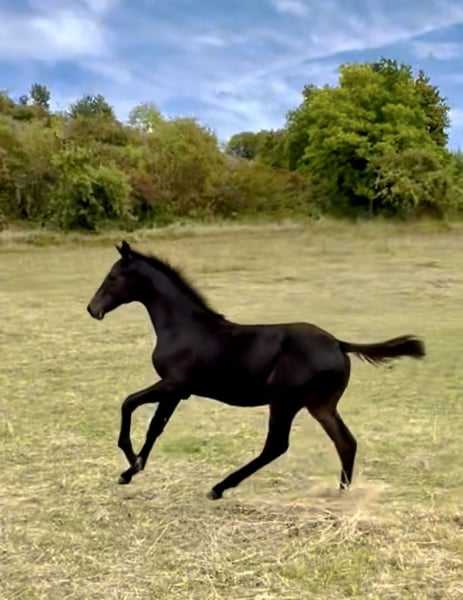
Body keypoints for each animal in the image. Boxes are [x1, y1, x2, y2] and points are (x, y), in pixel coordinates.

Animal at [87, 240, 425, 499]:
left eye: (113, 277)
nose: (92, 309)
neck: (183, 327)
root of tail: (339, 344)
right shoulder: (178, 391)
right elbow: (154, 425)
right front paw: (133, 469)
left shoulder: (173, 384)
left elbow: (132, 406)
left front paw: (130, 464)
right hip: (320, 405)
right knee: (345, 442)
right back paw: (342, 492)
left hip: (285, 400)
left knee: (276, 445)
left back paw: (219, 488)